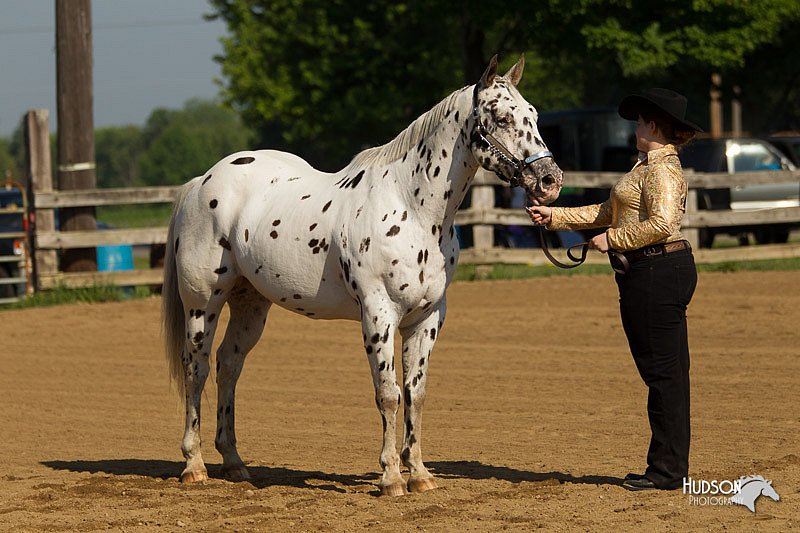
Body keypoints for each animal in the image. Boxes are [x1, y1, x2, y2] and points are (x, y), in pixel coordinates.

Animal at [162, 54, 564, 494]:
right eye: (502, 117)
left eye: (533, 115)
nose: (549, 181)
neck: (412, 208)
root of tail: (201, 183)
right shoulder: (378, 314)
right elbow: (388, 394)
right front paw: (390, 477)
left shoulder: (427, 318)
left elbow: (416, 394)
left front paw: (419, 474)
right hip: (203, 304)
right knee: (196, 371)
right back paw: (194, 465)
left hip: (251, 305)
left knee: (228, 366)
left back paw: (234, 462)